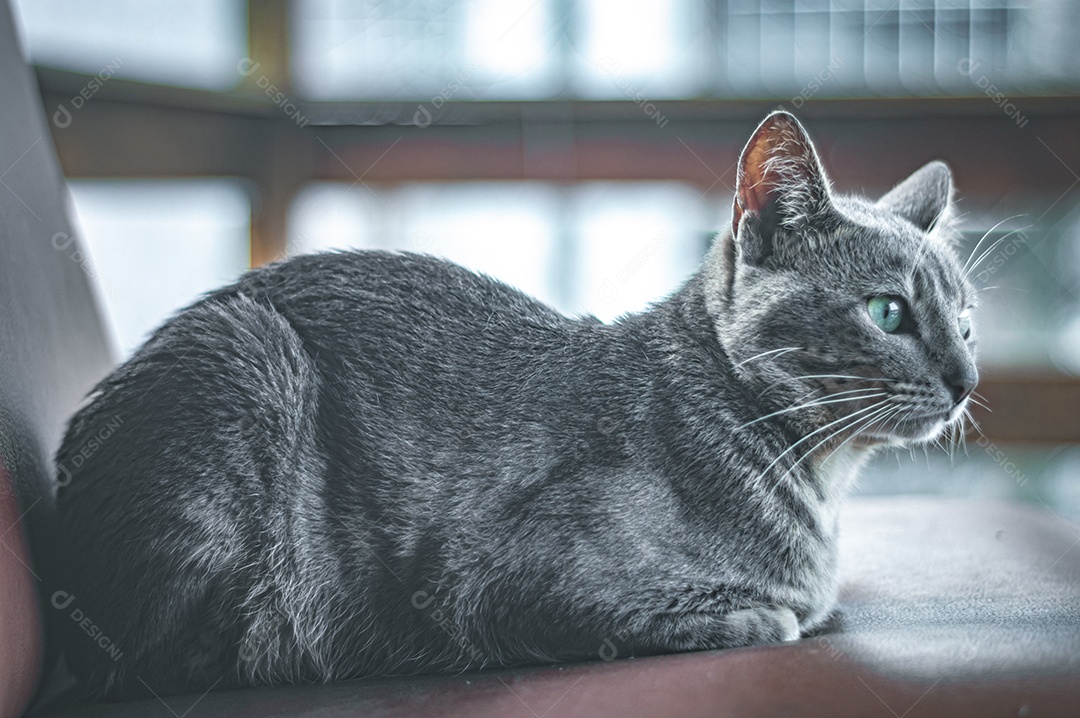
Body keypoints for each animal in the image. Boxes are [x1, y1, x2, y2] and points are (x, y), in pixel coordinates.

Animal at [50, 113, 980, 699]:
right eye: (888, 312)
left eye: (967, 319)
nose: (969, 378)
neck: (820, 484)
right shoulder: (491, 585)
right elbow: (773, 620)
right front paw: (764, 614)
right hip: (247, 363)